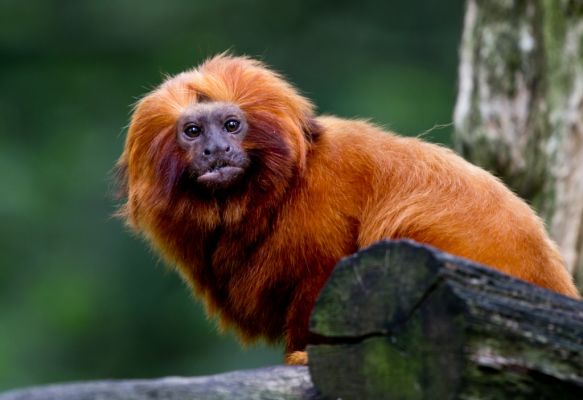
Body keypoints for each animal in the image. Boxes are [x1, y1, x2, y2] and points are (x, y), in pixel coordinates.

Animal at [116, 53, 580, 366]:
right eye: (193, 131)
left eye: (232, 125)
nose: (216, 150)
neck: (275, 192)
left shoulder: (326, 201)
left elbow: (326, 275)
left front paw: (305, 357)